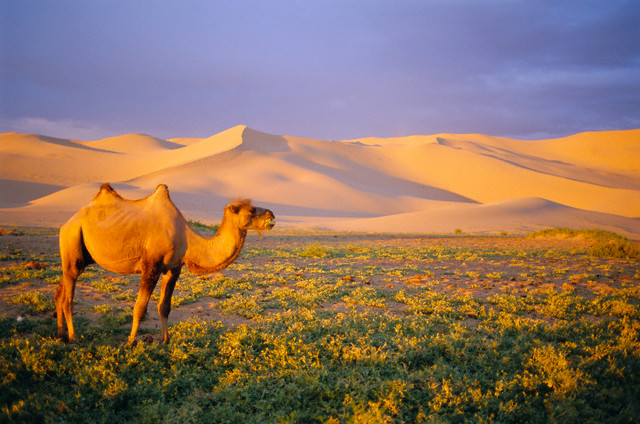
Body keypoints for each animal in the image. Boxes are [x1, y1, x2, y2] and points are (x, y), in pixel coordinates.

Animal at [55, 184, 276, 342]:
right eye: (251, 209)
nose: (272, 214)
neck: (187, 239)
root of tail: (67, 223)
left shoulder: (173, 269)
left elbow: (165, 306)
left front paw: (165, 340)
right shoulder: (151, 266)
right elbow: (139, 307)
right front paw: (131, 342)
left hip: (79, 255)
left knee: (59, 292)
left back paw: (60, 335)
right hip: (72, 241)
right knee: (68, 296)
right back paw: (73, 337)